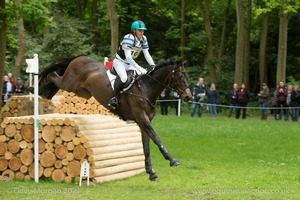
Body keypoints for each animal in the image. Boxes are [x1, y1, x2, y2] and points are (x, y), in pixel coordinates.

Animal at [36, 54, 191, 181]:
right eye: (179, 76)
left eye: (187, 76)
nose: (188, 96)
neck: (146, 89)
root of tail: (80, 57)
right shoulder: (142, 118)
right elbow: (157, 138)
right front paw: (172, 160)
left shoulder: (143, 123)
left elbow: (146, 146)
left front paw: (151, 173)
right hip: (69, 83)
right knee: (53, 76)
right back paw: (40, 90)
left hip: (81, 91)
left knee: (56, 80)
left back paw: (44, 93)